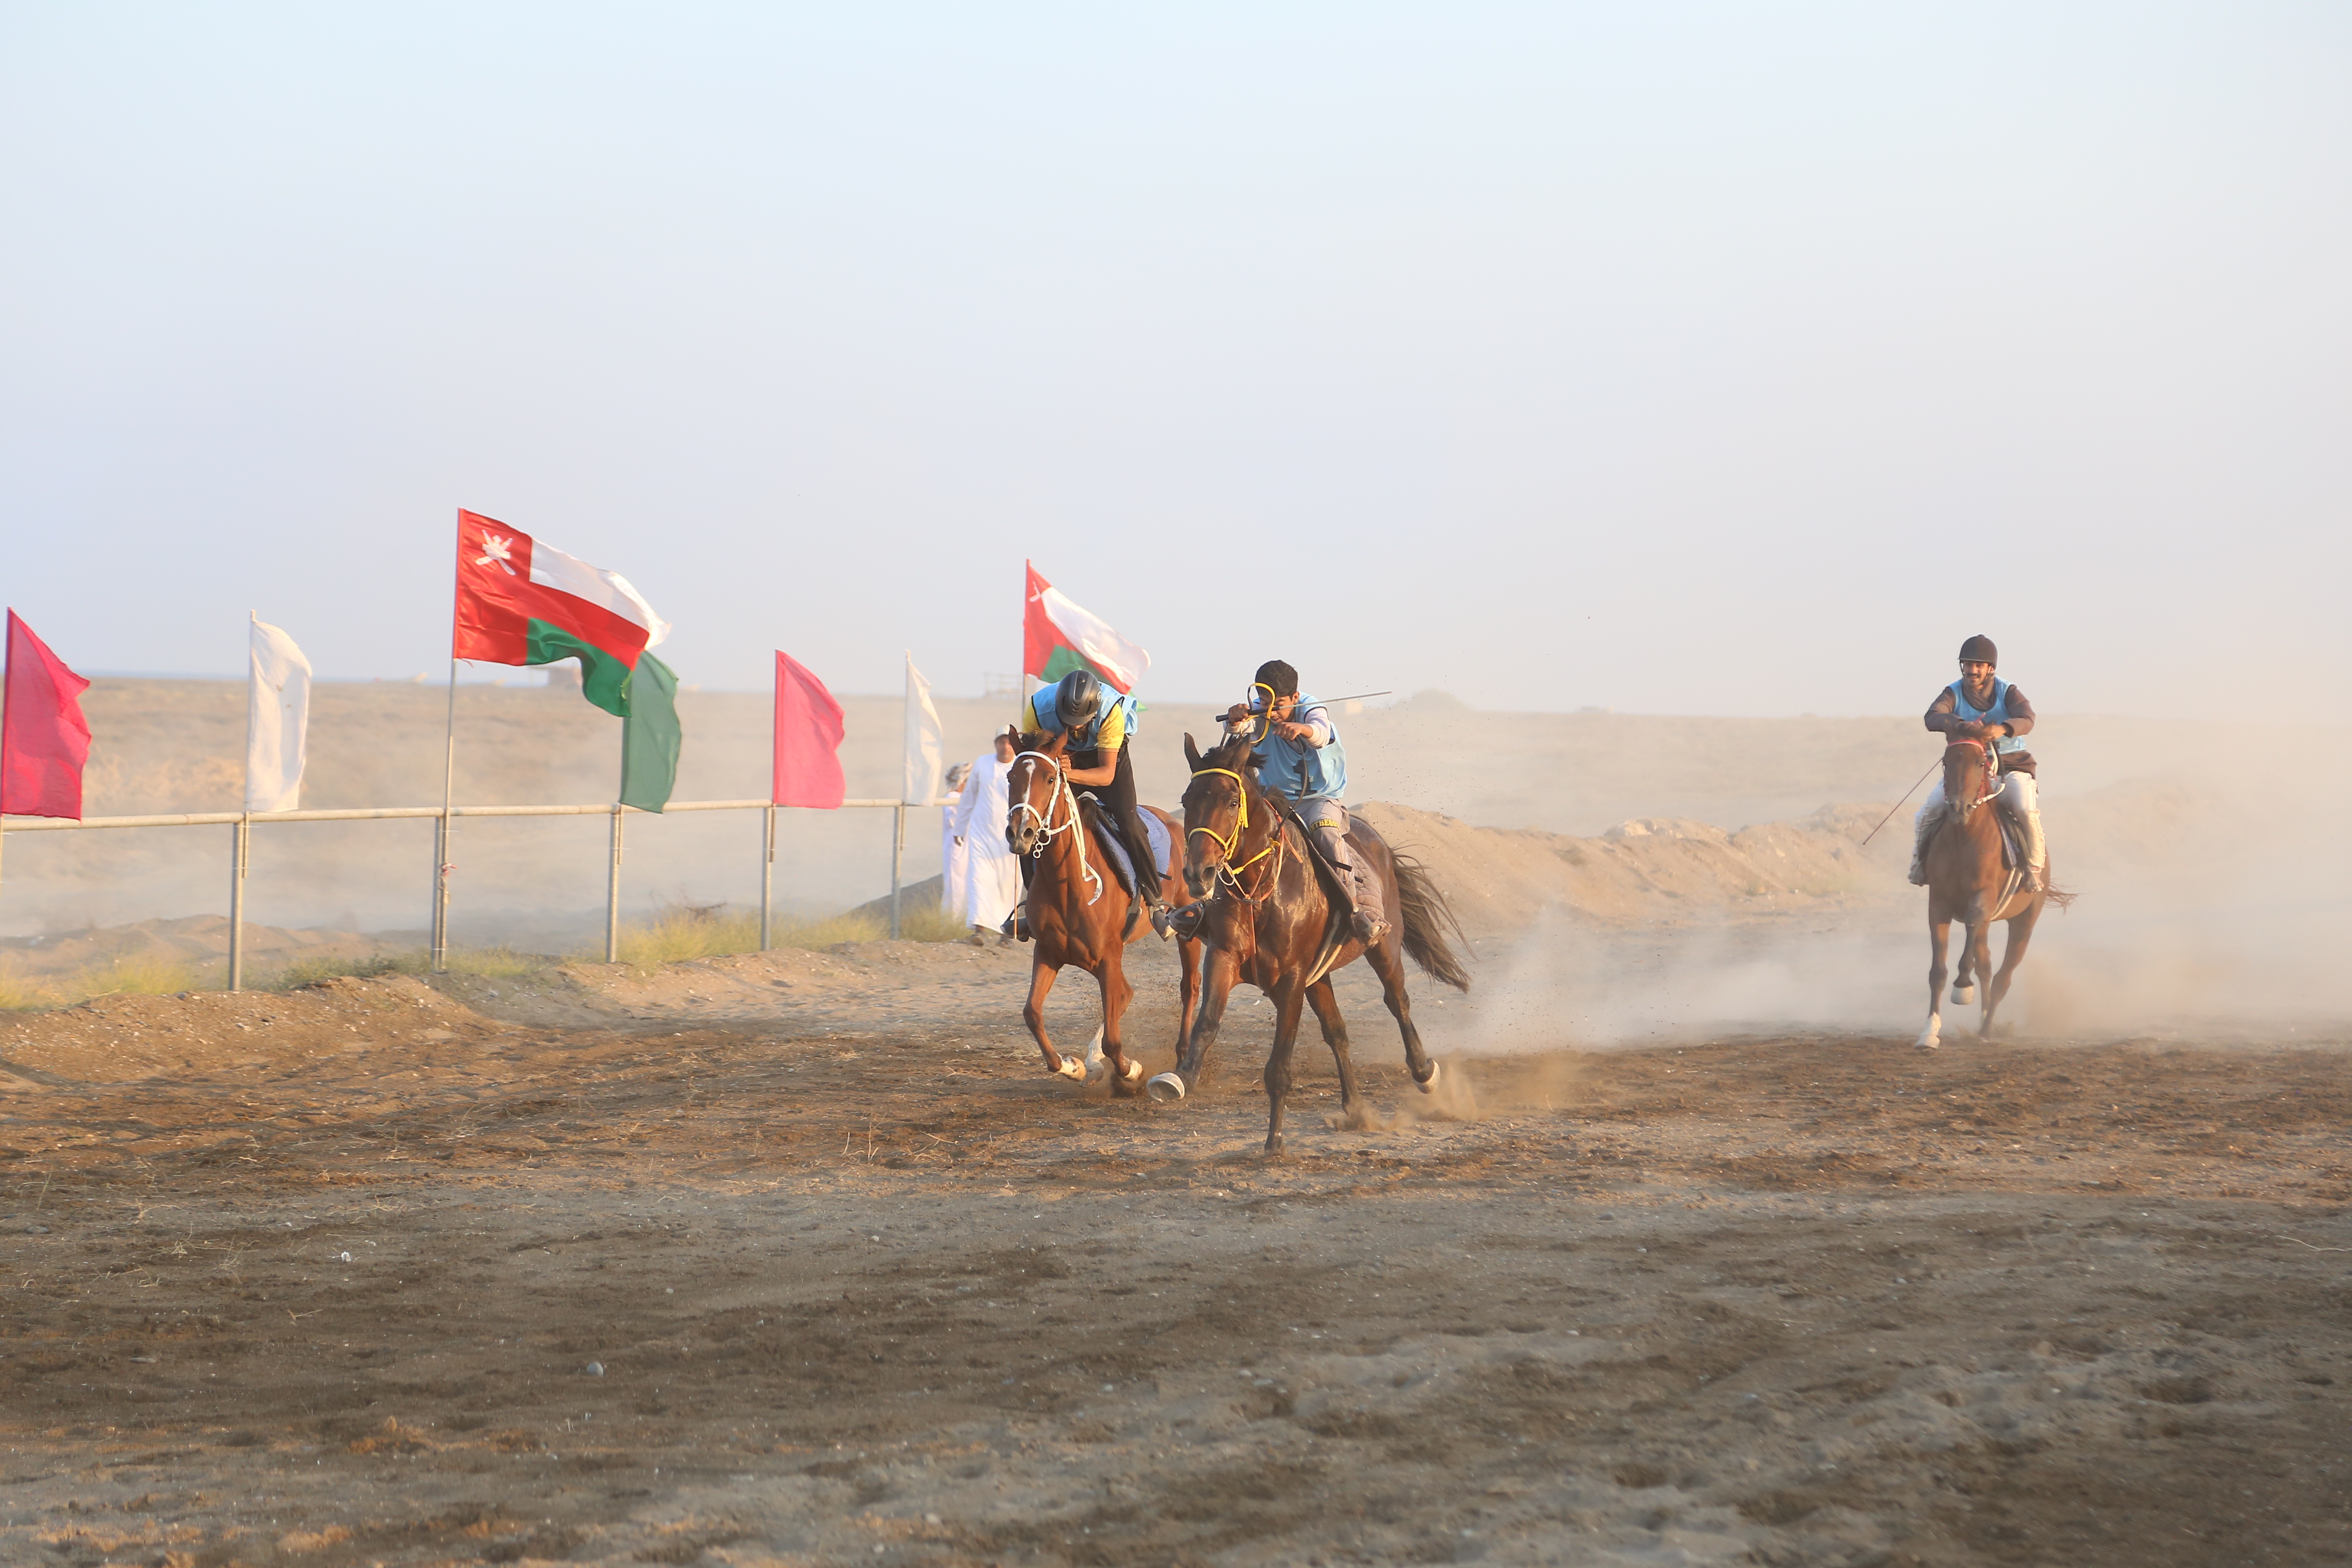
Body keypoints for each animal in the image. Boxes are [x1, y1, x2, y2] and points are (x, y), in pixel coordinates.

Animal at [1002, 728, 1202, 1094]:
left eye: (1050, 778)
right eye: (1011, 777)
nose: (1020, 833)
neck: (1070, 884)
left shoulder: (1109, 956)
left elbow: (1113, 1039)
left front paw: (1131, 1071)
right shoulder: (1049, 952)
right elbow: (1033, 1014)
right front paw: (1074, 1066)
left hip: (1185, 928)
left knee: (1189, 986)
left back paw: (1181, 1055)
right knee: (1125, 994)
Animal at [1145, 730, 1472, 1155]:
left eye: (1232, 801)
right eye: (1187, 800)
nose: (1198, 873)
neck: (1262, 891)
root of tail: (1378, 842)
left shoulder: (1292, 980)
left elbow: (1279, 1066)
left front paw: (1275, 1141)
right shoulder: (1225, 957)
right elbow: (1208, 1023)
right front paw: (1178, 1078)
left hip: (1383, 948)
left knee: (1397, 1001)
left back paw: (1424, 1072)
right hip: (1320, 977)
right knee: (1338, 1032)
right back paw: (1355, 1109)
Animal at [1917, 737, 2072, 1048]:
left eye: (1981, 763)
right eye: (1947, 762)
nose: (1959, 807)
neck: (1964, 837)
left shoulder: (1982, 899)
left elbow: (1971, 944)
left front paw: (1962, 988)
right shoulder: (1938, 904)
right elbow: (1938, 971)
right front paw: (1930, 1032)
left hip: (2025, 922)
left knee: (2003, 976)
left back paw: (1986, 1030)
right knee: (1987, 964)